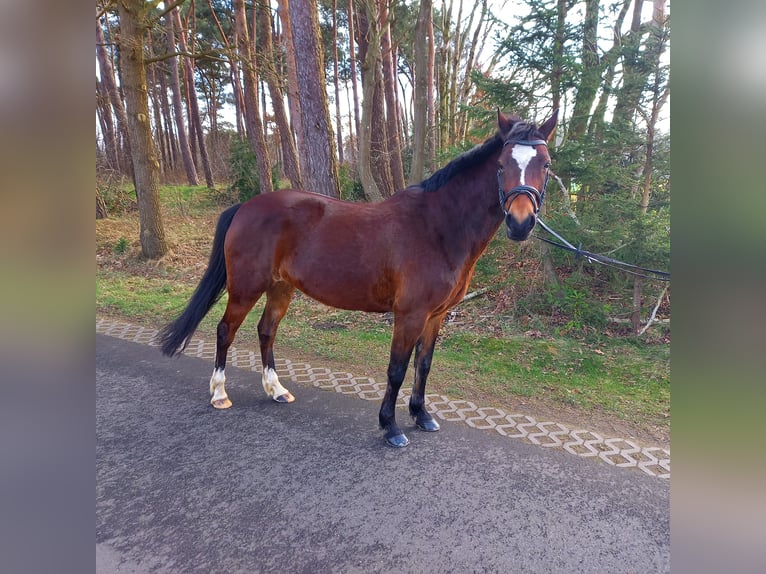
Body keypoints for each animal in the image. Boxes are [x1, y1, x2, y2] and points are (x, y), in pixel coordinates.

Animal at [160, 109, 560, 450]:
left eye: (545, 163)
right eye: (502, 164)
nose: (521, 223)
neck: (438, 226)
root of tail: (245, 206)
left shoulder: (436, 315)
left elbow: (424, 365)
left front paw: (422, 415)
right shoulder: (410, 314)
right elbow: (397, 370)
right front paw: (391, 426)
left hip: (280, 287)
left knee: (266, 330)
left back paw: (276, 389)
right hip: (246, 287)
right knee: (225, 331)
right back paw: (219, 393)